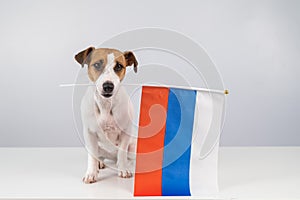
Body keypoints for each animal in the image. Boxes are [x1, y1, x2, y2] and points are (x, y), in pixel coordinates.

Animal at [74, 46, 138, 183]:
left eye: (119, 66)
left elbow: (122, 153)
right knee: (99, 156)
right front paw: (91, 173)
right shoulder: (89, 133)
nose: (108, 86)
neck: (106, 104)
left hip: (133, 147)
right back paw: (100, 163)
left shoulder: (125, 131)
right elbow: (92, 156)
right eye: (97, 64)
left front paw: (123, 169)